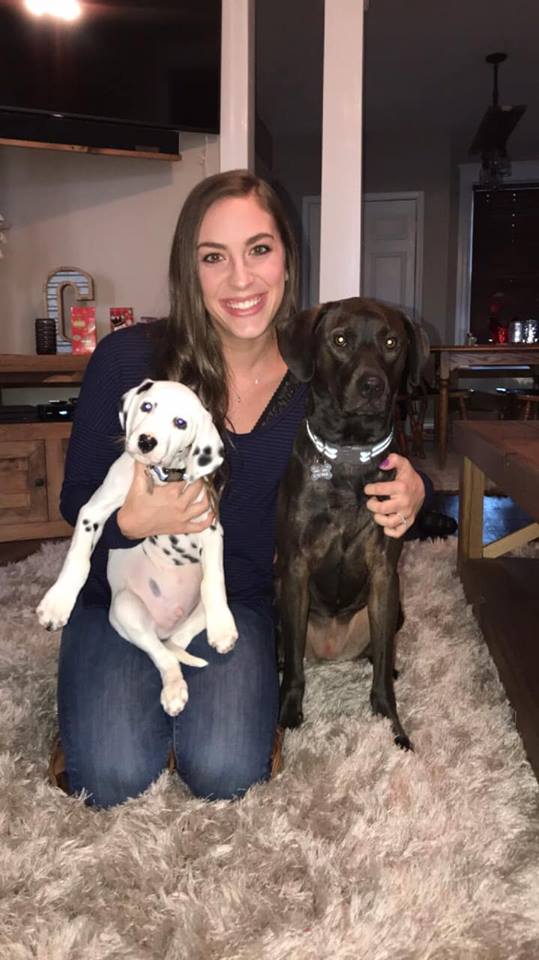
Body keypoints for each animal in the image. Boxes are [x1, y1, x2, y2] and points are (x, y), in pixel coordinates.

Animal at [37, 379, 238, 716]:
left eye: (180, 423)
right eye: (147, 406)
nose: (145, 441)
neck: (161, 479)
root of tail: (165, 628)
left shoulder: (210, 529)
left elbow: (214, 580)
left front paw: (222, 626)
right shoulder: (92, 511)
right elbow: (78, 559)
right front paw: (58, 603)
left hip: (191, 617)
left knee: (176, 644)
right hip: (126, 610)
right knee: (162, 655)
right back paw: (173, 689)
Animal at [275, 297, 429, 749]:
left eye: (392, 343)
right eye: (340, 340)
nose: (372, 385)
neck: (349, 453)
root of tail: (332, 650)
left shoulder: (384, 572)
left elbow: (381, 679)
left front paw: (391, 724)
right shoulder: (295, 569)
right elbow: (294, 671)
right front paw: (288, 717)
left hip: (395, 608)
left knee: (381, 650)